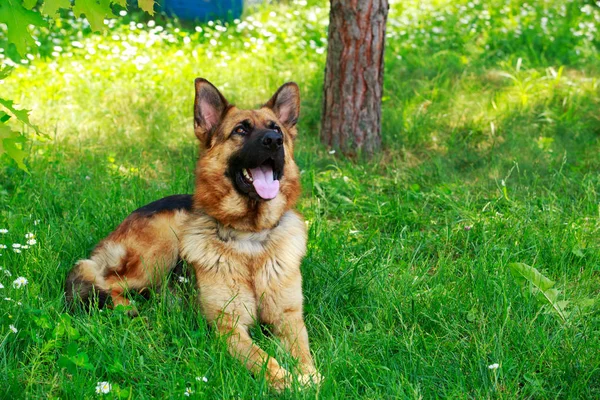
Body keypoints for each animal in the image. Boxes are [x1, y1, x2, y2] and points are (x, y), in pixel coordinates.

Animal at [65, 79, 324, 390]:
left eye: (277, 130)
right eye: (241, 130)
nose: (274, 141)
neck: (251, 239)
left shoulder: (289, 320)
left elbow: (303, 353)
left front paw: (309, 375)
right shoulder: (229, 327)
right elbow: (263, 359)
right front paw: (288, 381)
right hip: (161, 247)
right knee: (100, 277)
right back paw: (126, 308)